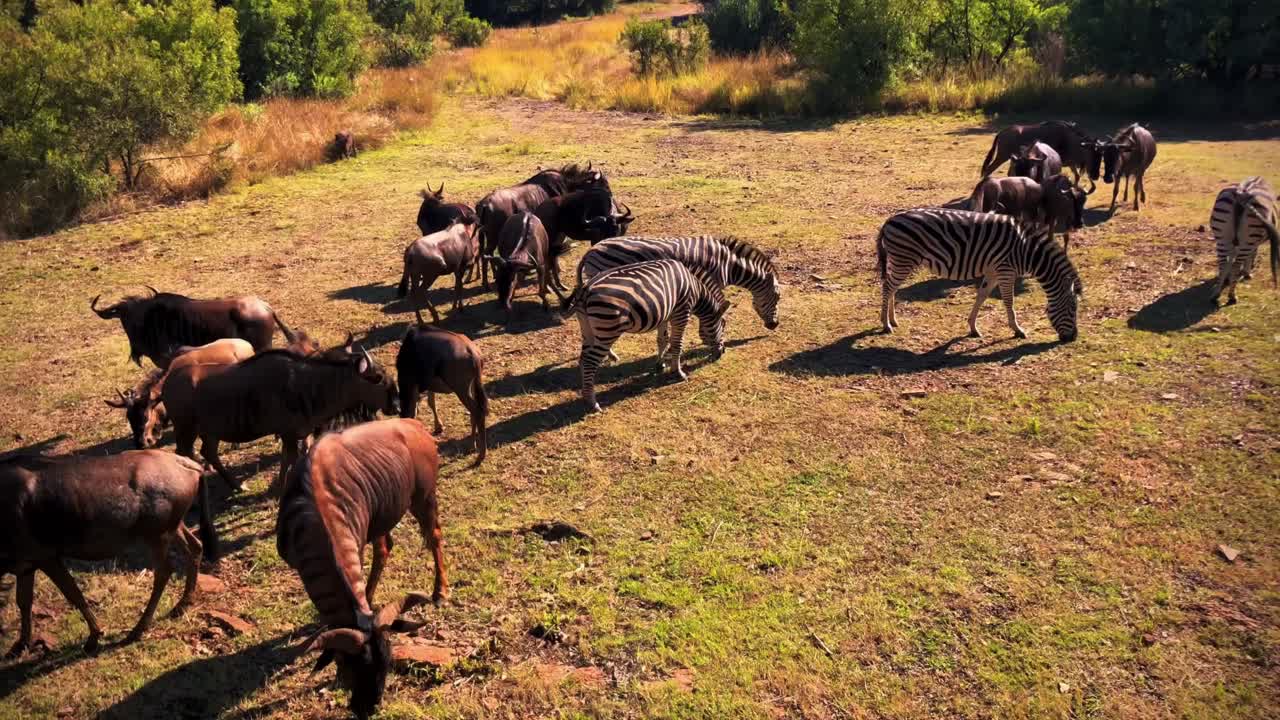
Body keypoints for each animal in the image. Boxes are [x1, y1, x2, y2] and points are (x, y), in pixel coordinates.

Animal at [561, 259, 730, 413]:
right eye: (724, 325)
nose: (722, 352)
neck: (696, 289)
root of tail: (586, 287)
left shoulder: (666, 313)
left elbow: (662, 340)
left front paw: (660, 364)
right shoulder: (682, 312)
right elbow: (677, 344)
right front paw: (678, 372)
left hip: (587, 327)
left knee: (583, 359)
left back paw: (585, 394)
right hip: (607, 329)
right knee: (590, 361)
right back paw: (592, 402)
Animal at [876, 208, 1083, 342]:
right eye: (1073, 309)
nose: (1073, 338)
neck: (1027, 251)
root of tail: (889, 220)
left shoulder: (993, 271)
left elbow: (981, 296)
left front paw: (973, 327)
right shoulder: (1006, 271)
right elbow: (1009, 301)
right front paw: (1017, 330)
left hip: (900, 260)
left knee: (892, 286)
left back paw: (893, 320)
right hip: (905, 259)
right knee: (888, 287)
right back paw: (886, 324)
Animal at [1210, 177, 1278, 305]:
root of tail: (1241, 193)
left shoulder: (1235, 243)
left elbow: (1230, 260)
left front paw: (1227, 278)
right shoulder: (1252, 243)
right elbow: (1251, 254)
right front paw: (1247, 273)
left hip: (1223, 237)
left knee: (1222, 263)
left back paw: (1215, 294)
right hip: (1249, 238)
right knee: (1236, 264)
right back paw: (1232, 296)